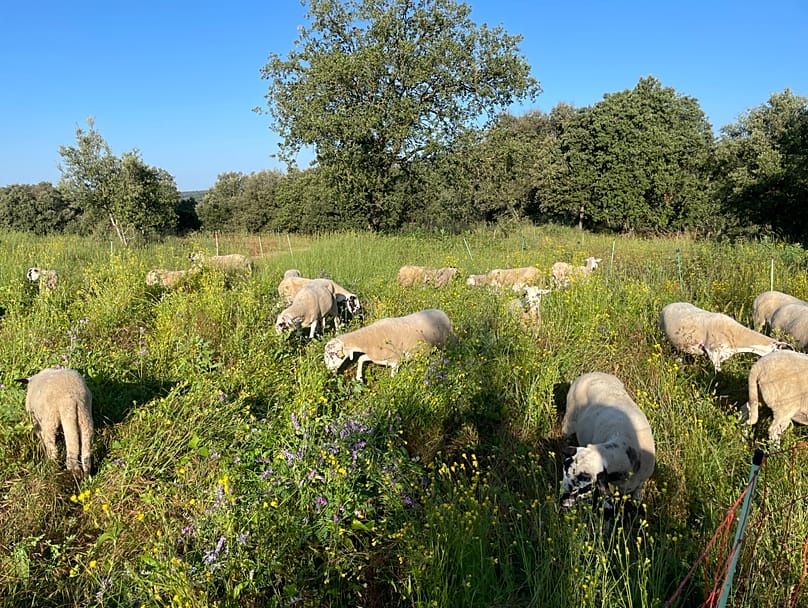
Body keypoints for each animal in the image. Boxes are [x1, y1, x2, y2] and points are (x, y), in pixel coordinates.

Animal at [324, 308, 453, 382]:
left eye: (333, 354)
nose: (329, 371)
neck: (370, 338)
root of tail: (443, 313)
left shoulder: (396, 360)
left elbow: (392, 377)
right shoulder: (377, 357)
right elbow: (361, 358)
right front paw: (359, 378)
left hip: (444, 343)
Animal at [561, 372, 656, 508]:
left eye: (584, 487)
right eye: (564, 475)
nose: (562, 503)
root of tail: (591, 373)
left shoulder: (640, 482)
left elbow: (637, 497)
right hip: (569, 420)